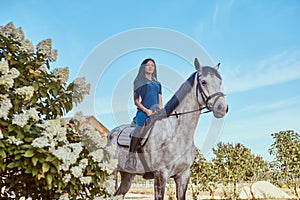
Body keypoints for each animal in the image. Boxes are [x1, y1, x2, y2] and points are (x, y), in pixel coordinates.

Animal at [108, 57, 227, 198]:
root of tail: (110, 134)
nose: (222, 108)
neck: (176, 134)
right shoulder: (161, 174)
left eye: (220, 82)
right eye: (203, 82)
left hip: (127, 176)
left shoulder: (183, 175)